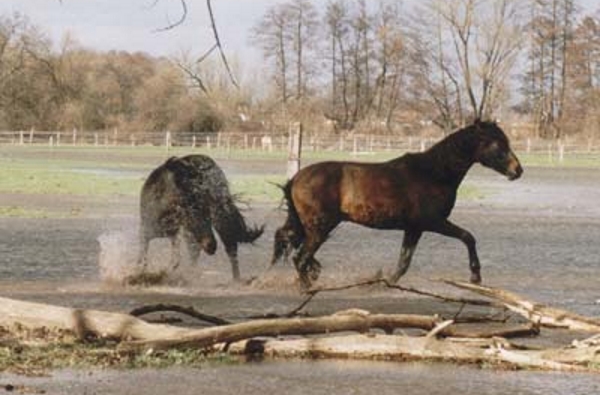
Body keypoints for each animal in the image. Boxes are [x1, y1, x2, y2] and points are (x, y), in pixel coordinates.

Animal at [272, 120, 520, 288]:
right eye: (497, 143)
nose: (517, 171)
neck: (433, 173)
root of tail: (296, 178)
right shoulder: (433, 222)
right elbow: (468, 237)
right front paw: (475, 276)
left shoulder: (414, 228)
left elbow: (404, 262)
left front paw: (385, 282)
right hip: (320, 227)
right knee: (300, 258)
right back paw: (307, 287)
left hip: (316, 227)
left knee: (299, 252)